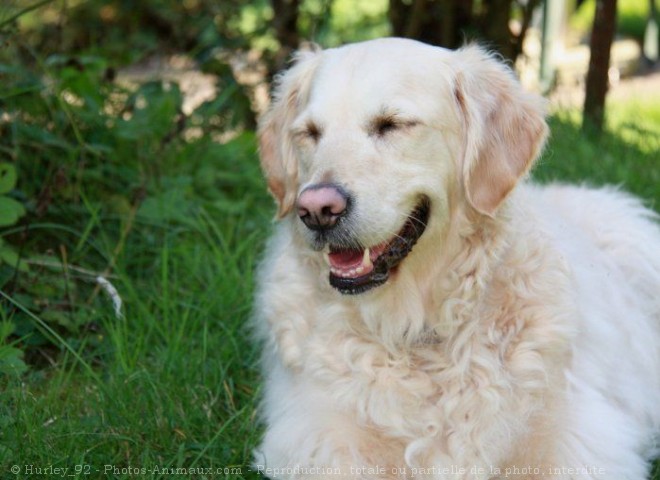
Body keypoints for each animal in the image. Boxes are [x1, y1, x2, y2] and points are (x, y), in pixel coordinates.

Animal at [251, 38, 660, 480]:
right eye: (309, 134)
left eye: (392, 124)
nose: (316, 210)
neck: (417, 330)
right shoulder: (316, 434)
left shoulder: (579, 435)